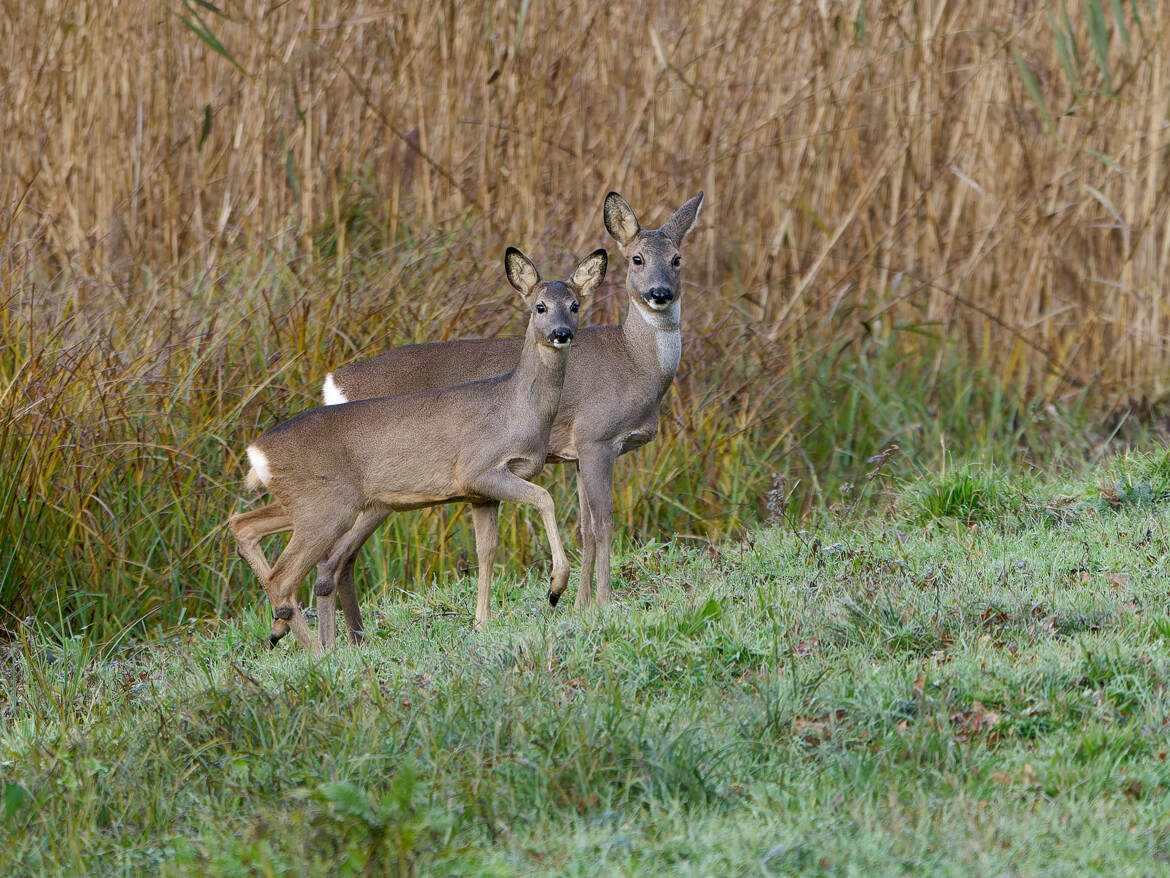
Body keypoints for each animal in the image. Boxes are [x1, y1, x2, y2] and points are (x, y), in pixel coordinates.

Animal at [225, 248, 603, 655]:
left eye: (575, 305)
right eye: (539, 306)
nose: (561, 333)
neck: (516, 407)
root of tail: (257, 451)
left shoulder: (480, 495)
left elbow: (486, 550)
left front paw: (482, 623)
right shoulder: (478, 469)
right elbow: (545, 498)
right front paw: (555, 587)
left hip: (310, 502)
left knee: (243, 525)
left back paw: (288, 631)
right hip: (326, 509)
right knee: (282, 576)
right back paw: (313, 647)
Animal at [306, 191, 702, 646]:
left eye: (677, 258)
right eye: (637, 258)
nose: (660, 293)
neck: (635, 362)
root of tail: (334, 383)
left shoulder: (576, 453)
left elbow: (586, 526)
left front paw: (579, 606)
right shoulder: (596, 437)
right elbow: (603, 523)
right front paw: (601, 603)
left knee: (344, 557)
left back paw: (356, 638)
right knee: (333, 556)